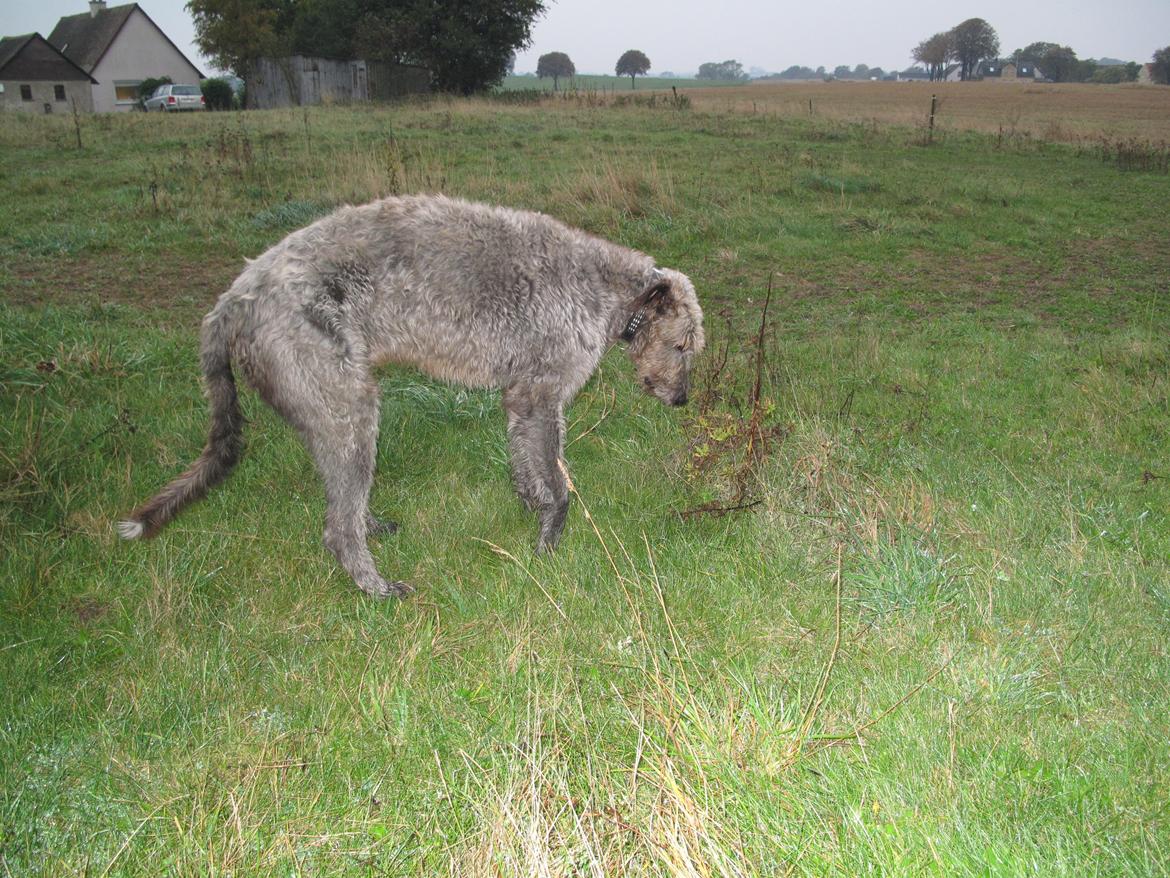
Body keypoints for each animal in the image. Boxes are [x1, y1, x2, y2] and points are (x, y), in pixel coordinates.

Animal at [118, 195, 702, 599]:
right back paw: (376, 586)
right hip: (347, 404)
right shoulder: (540, 395)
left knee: (343, 500)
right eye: (681, 345)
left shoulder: (520, 401)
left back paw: (371, 525)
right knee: (338, 527)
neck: (606, 289)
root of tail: (234, 299)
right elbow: (558, 486)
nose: (681, 401)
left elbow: (528, 466)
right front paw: (547, 544)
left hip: (325, 409)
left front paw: (530, 506)